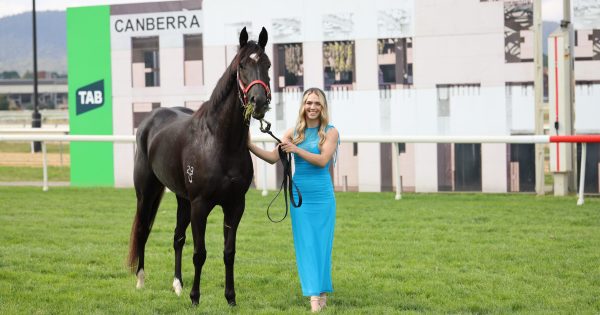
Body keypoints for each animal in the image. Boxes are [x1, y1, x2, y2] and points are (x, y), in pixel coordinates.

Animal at [126, 27, 272, 306]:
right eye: (242, 65)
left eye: (267, 64)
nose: (258, 102)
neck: (220, 142)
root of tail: (150, 120)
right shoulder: (201, 205)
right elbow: (200, 253)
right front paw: (195, 298)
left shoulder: (235, 206)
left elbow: (229, 252)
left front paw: (230, 298)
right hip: (147, 193)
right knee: (142, 228)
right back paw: (140, 279)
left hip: (182, 199)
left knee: (177, 238)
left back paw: (177, 285)